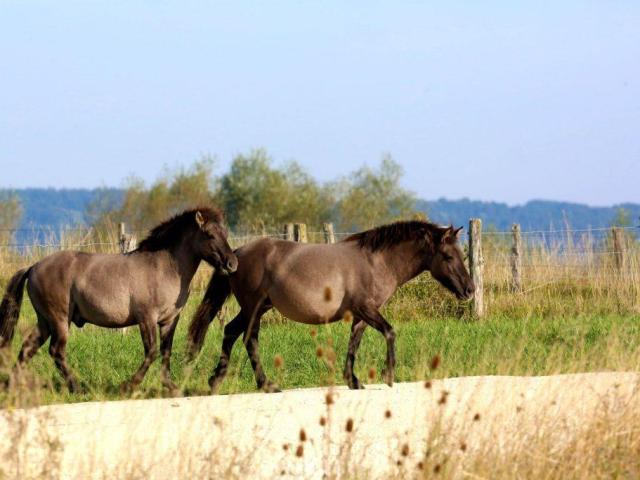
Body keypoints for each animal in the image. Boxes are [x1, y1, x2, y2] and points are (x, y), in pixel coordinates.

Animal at [0, 208, 238, 392]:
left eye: (225, 233)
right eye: (209, 234)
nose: (232, 263)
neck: (163, 267)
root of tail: (33, 267)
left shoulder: (169, 321)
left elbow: (165, 352)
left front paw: (171, 387)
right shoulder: (146, 318)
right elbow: (151, 352)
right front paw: (128, 386)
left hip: (45, 321)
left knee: (27, 349)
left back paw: (11, 387)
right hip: (59, 320)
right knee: (56, 352)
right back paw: (77, 388)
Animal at [188, 219, 472, 392]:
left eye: (460, 254)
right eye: (448, 256)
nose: (470, 290)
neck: (375, 262)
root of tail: (237, 253)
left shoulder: (360, 316)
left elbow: (353, 344)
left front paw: (353, 380)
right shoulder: (366, 309)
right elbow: (390, 333)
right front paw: (388, 375)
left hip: (257, 308)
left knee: (232, 332)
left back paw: (217, 380)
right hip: (253, 308)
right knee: (249, 339)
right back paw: (265, 384)